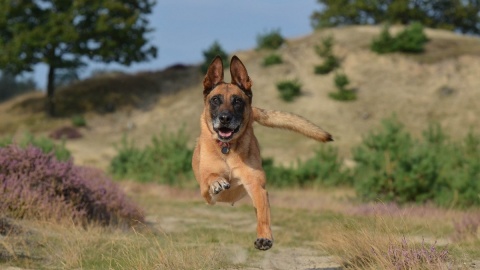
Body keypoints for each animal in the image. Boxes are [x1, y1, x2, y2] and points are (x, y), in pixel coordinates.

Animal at [191, 55, 334, 251]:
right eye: (215, 100)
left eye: (237, 101)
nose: (225, 118)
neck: (227, 149)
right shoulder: (206, 192)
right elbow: (211, 177)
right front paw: (218, 181)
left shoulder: (257, 187)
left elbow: (263, 216)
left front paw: (264, 237)